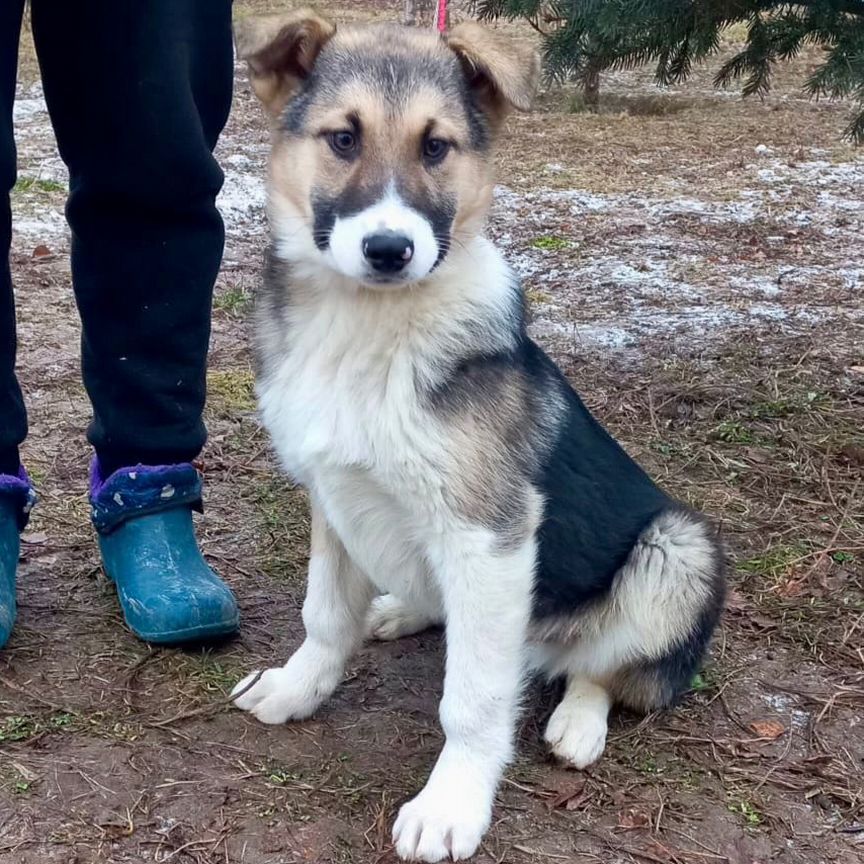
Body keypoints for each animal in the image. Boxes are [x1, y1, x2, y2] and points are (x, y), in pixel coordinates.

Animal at [230, 10, 724, 860]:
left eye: (436, 147)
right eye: (342, 139)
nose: (389, 250)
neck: (370, 325)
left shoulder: (487, 533)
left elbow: (472, 699)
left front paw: (452, 803)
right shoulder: (332, 496)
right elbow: (324, 616)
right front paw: (297, 689)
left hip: (676, 550)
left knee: (607, 667)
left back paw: (577, 723)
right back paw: (401, 608)